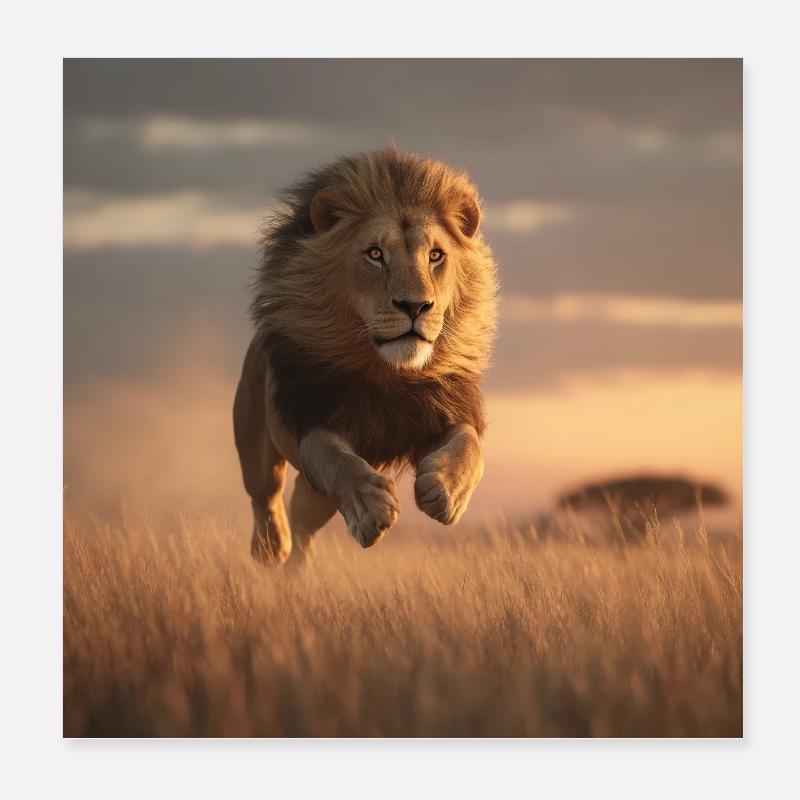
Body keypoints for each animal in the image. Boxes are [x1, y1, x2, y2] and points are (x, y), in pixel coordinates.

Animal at [233, 147, 498, 565]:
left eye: (435, 256)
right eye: (375, 254)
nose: (416, 306)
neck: (390, 373)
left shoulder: (440, 410)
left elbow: (470, 445)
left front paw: (445, 490)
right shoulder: (313, 418)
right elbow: (337, 460)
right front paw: (371, 508)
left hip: (318, 497)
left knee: (303, 519)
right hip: (256, 443)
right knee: (266, 495)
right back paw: (270, 546)